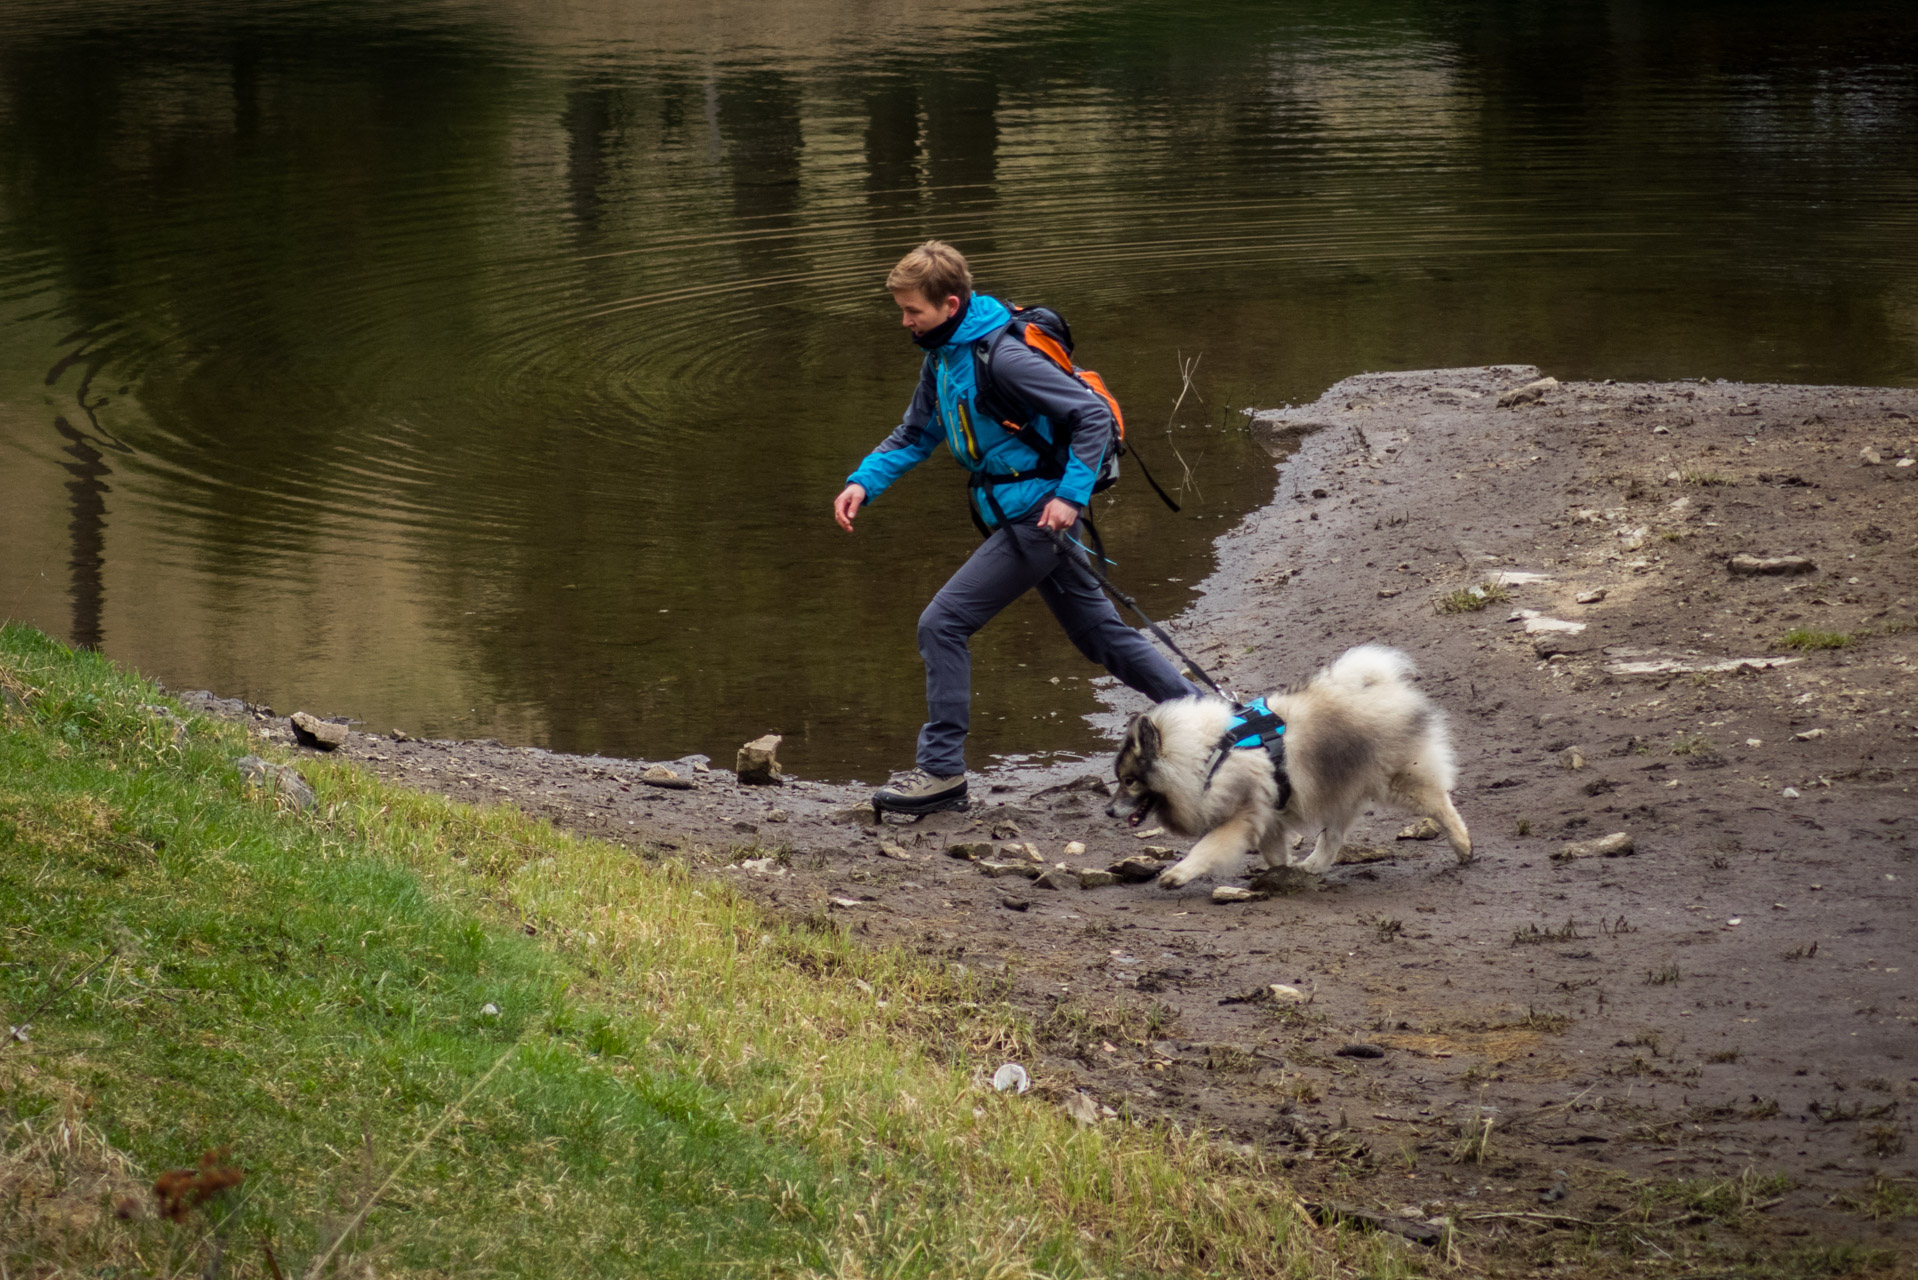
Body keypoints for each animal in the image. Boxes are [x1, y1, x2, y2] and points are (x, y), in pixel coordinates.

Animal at [1112, 644, 1465, 886]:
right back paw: (1313, 866)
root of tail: (1382, 686)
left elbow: (1207, 847)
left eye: (1129, 781)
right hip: (1337, 789)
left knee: (1441, 804)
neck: (1208, 756)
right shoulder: (1268, 817)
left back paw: (1464, 846)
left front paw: (1178, 873)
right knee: (1332, 837)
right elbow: (1274, 854)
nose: (1108, 810)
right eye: (1119, 779)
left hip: (1398, 779)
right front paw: (1281, 872)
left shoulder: (1242, 816)